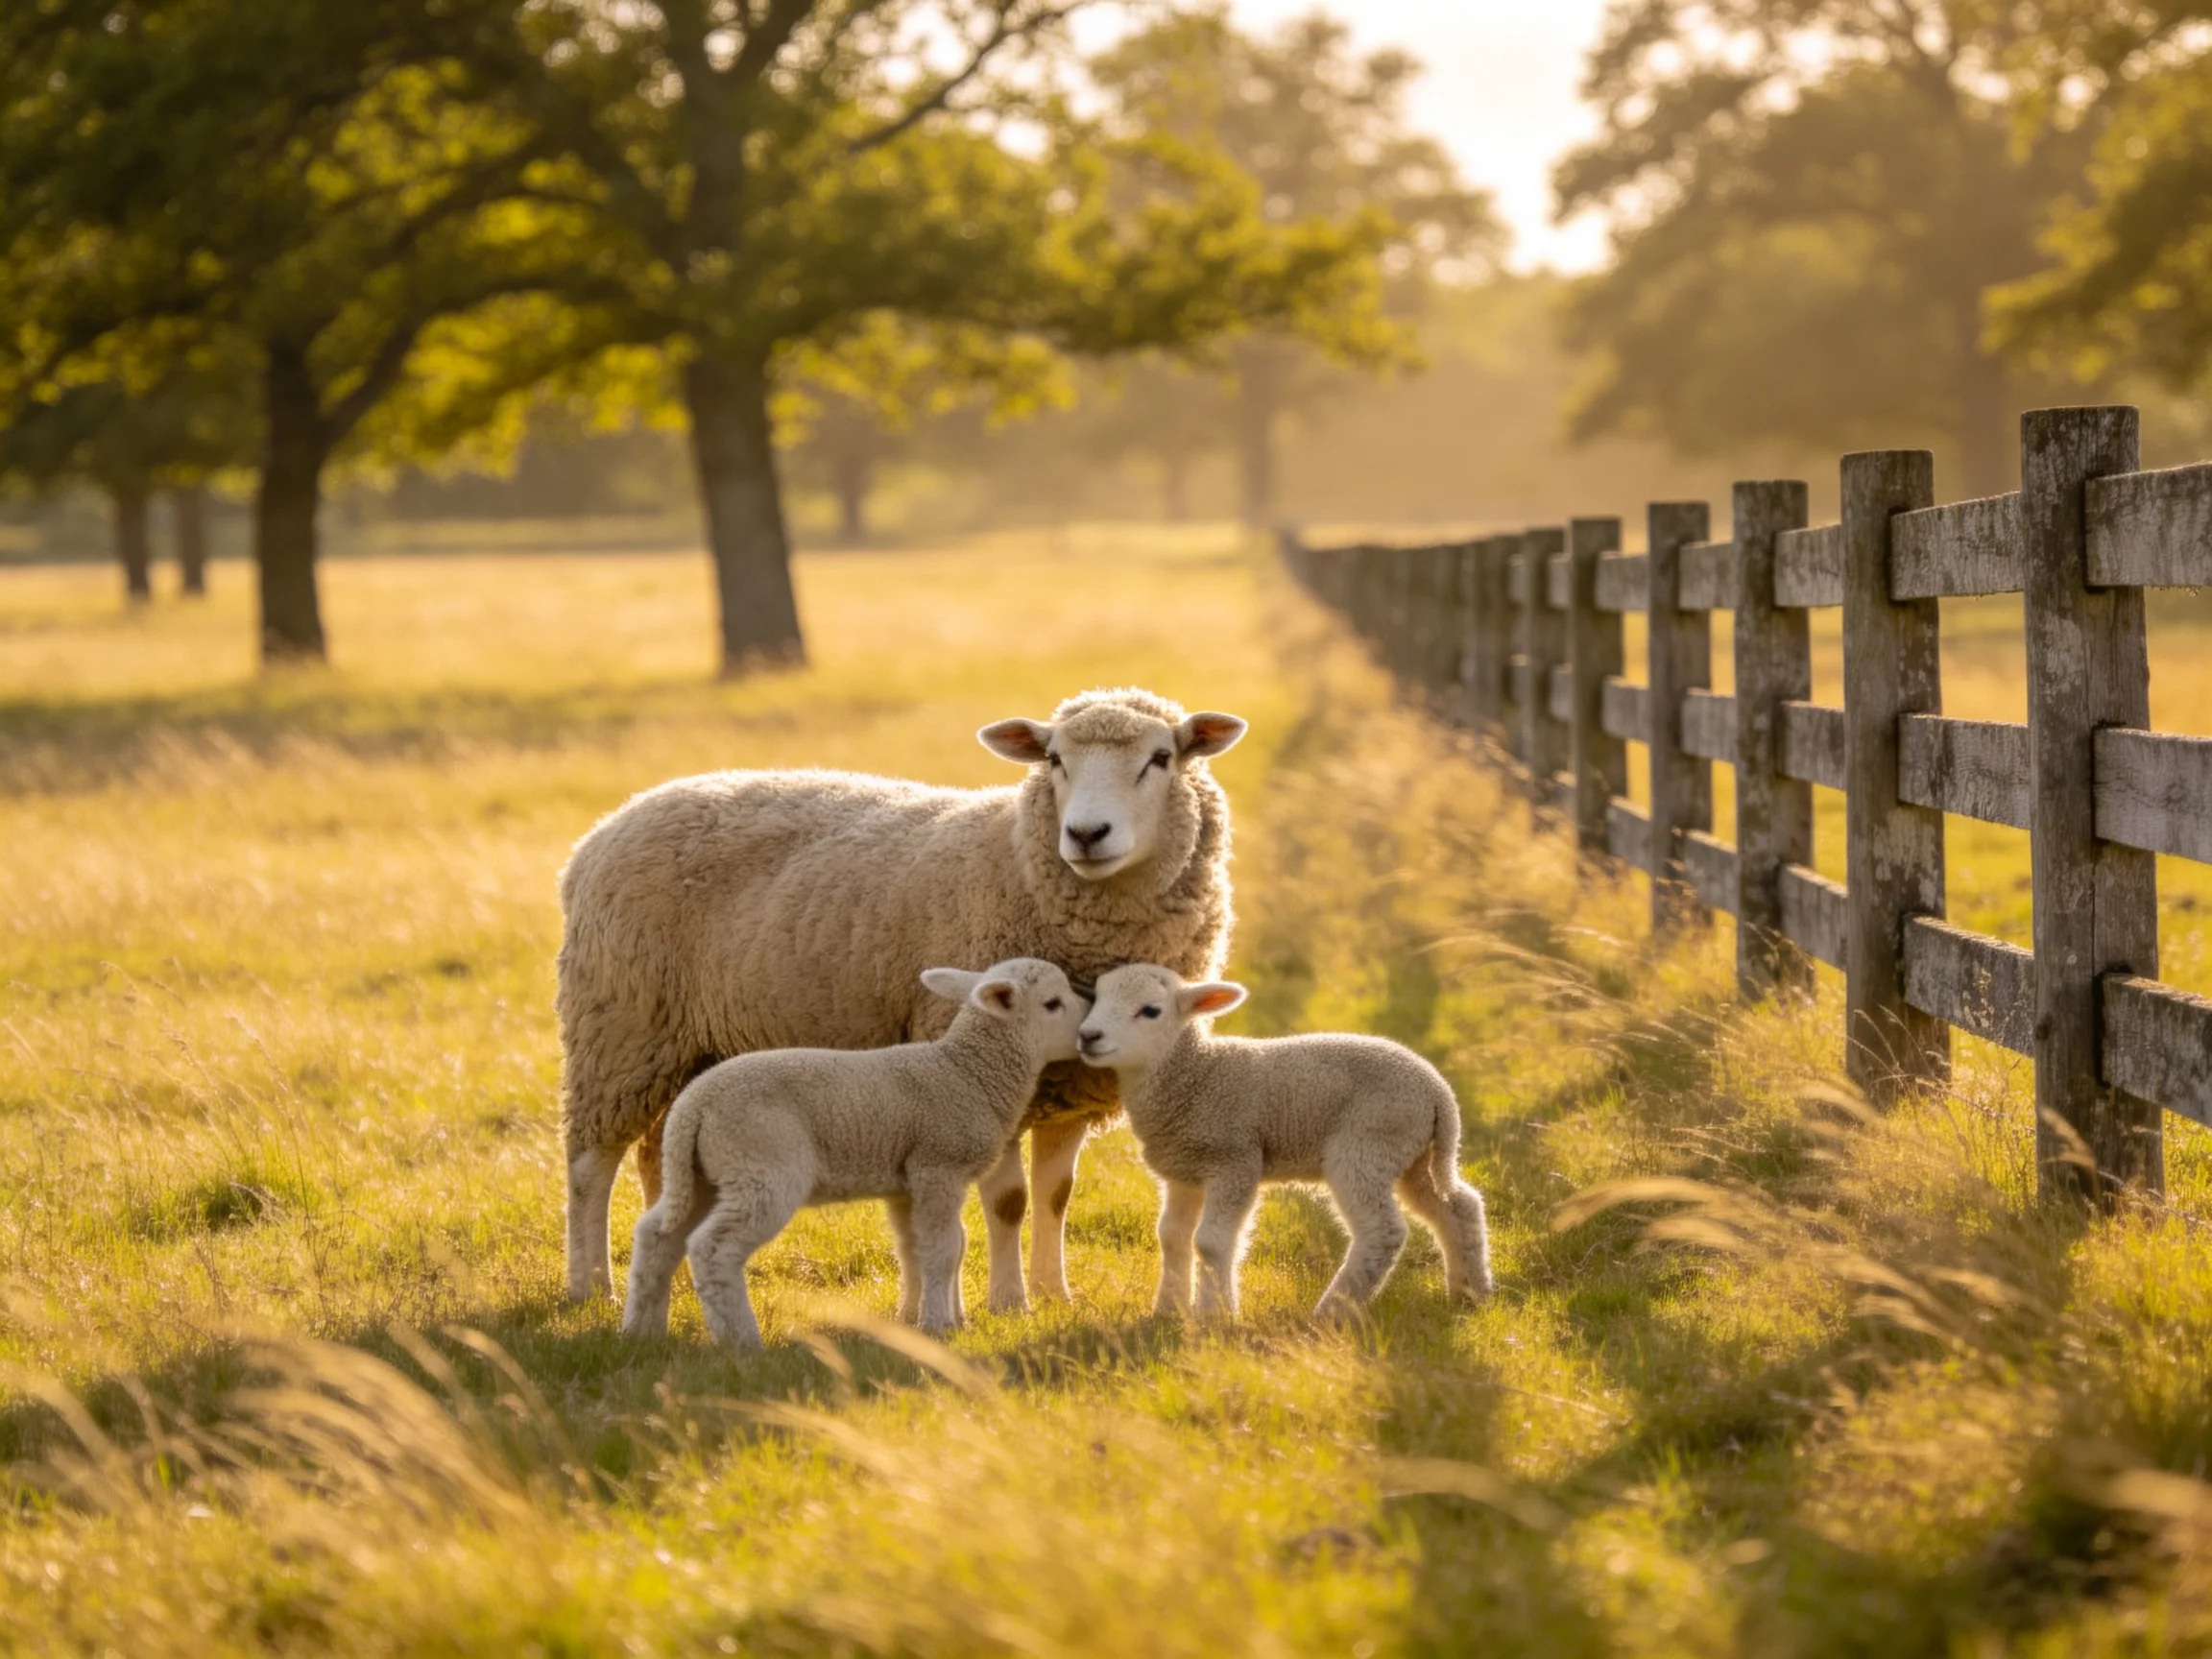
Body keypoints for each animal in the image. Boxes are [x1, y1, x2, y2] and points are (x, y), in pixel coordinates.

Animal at [621, 959, 1088, 1349]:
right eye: (1052, 1003)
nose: (1088, 1026)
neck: (966, 1072)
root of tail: (692, 1107)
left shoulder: (908, 1180)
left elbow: (925, 1248)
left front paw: (929, 1319)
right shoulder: (937, 1165)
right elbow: (943, 1249)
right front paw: (939, 1324)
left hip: (700, 1173)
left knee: (657, 1235)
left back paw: (642, 1330)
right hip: (761, 1167)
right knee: (712, 1249)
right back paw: (741, 1340)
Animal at [1075, 964, 1493, 1321]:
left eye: (1150, 1011)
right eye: (1096, 997)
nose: (1088, 1036)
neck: (1196, 1074)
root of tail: (1438, 1093)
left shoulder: (1234, 1159)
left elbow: (1210, 1242)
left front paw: (1215, 1315)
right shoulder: (1183, 1170)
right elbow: (1172, 1237)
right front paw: (1168, 1311)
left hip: (1366, 1144)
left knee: (1384, 1232)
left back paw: (1332, 1311)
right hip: (1414, 1153)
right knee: (1457, 1205)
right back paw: (1471, 1292)